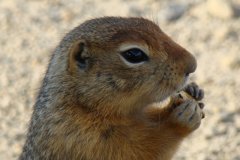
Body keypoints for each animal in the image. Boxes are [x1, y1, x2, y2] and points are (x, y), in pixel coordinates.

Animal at [19, 16, 205, 159]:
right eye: (134, 54)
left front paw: (193, 91)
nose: (193, 64)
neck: (84, 105)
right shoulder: (88, 139)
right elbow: (144, 148)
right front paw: (180, 119)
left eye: (154, 26)